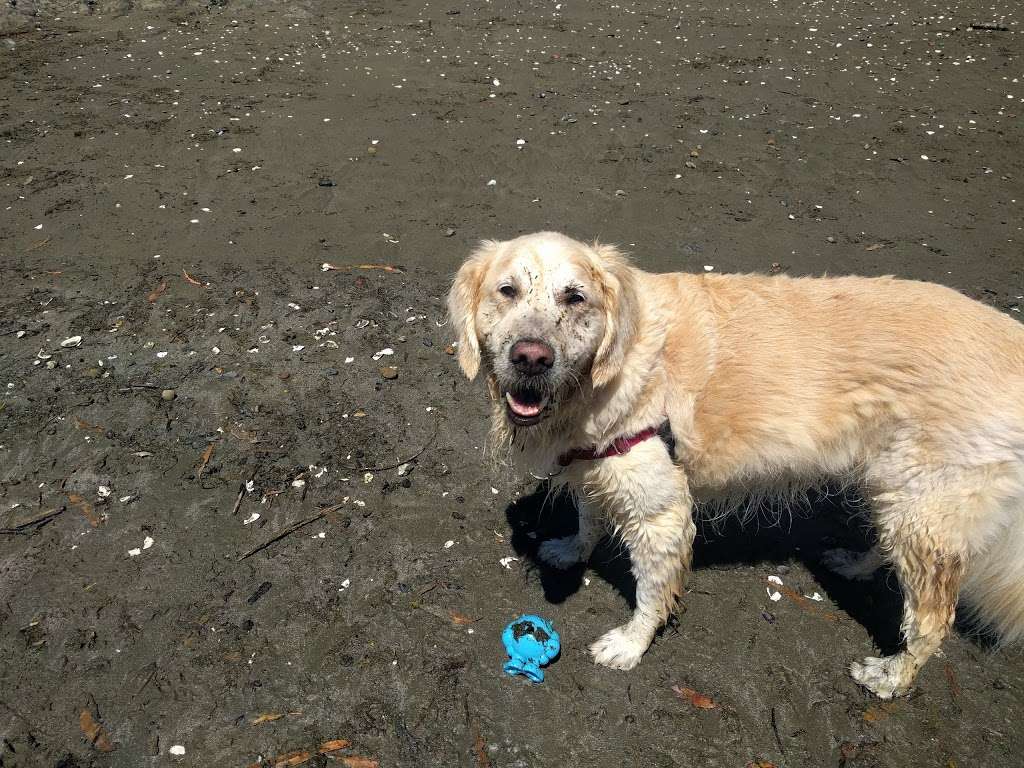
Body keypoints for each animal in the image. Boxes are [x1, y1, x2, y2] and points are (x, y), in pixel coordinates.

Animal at [452, 228, 1024, 696]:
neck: (612, 371)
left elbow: (651, 592)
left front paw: (630, 645)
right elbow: (589, 518)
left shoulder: (662, 511)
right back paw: (854, 565)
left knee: (932, 622)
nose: (531, 358)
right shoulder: (597, 466)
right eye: (507, 291)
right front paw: (572, 549)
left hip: (926, 510)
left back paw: (892, 677)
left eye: (575, 297)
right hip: (898, 494)